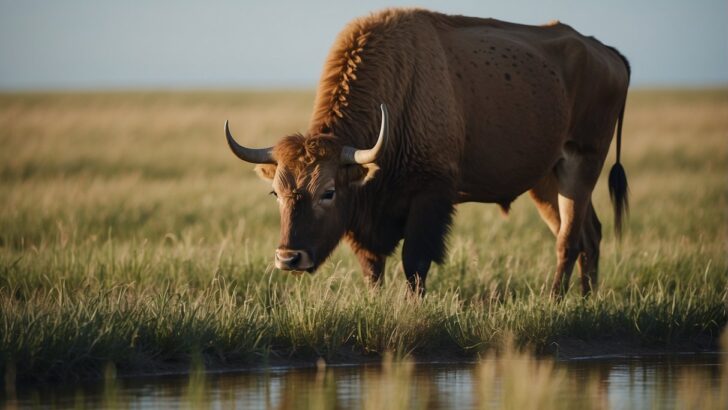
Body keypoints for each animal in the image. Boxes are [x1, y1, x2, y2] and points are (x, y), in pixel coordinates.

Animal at [225, 8, 628, 298]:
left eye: (328, 192)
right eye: (276, 192)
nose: (289, 257)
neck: (399, 90)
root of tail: (609, 55)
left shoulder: (430, 197)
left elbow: (414, 263)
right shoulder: (367, 216)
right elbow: (372, 267)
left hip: (581, 165)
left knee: (568, 240)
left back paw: (556, 300)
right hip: (546, 180)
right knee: (588, 233)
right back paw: (586, 300)